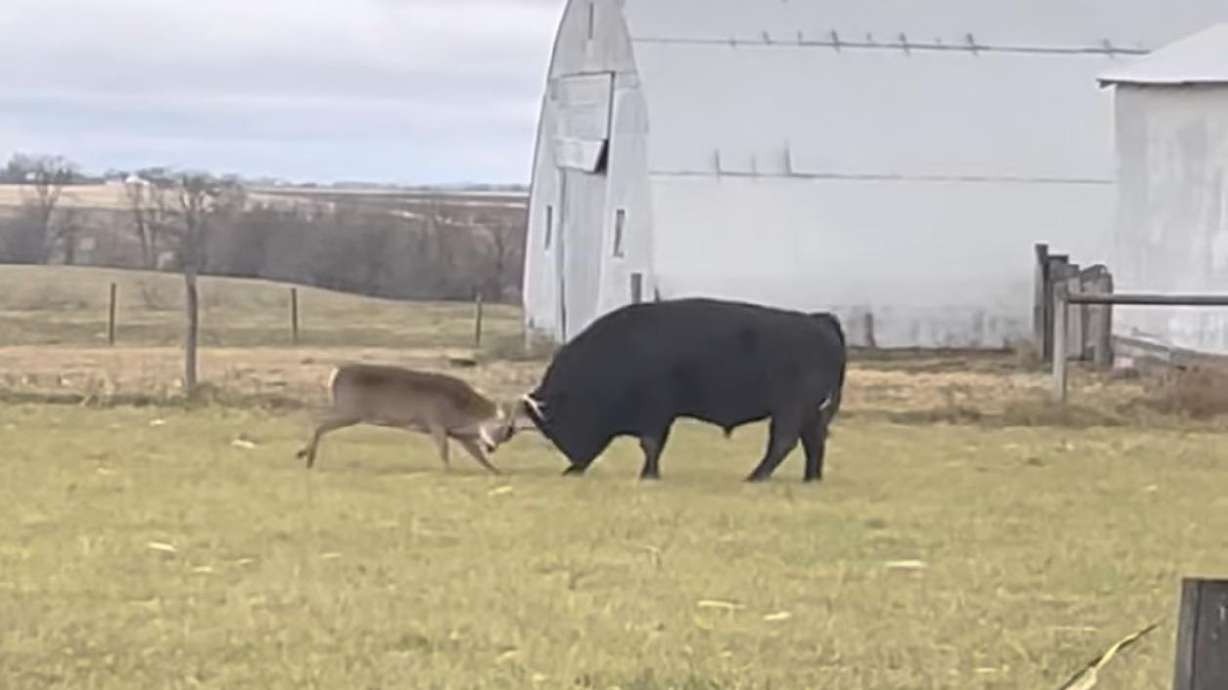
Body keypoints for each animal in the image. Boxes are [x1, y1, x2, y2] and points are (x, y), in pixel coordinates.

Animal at [297, 364, 522, 473]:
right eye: (502, 429)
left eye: (508, 434)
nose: (492, 448)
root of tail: (334, 375)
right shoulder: (435, 422)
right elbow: (444, 450)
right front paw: (448, 470)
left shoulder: (457, 434)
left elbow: (476, 455)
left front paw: (497, 471)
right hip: (350, 411)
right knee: (319, 425)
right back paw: (307, 458)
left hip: (347, 411)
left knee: (319, 424)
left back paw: (304, 455)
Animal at [516, 298, 847, 482]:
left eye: (556, 428)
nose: (575, 464)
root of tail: (819, 321)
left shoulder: (656, 413)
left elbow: (651, 444)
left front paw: (648, 475)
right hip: (810, 413)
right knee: (812, 442)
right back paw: (810, 478)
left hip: (791, 408)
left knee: (784, 441)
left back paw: (756, 477)